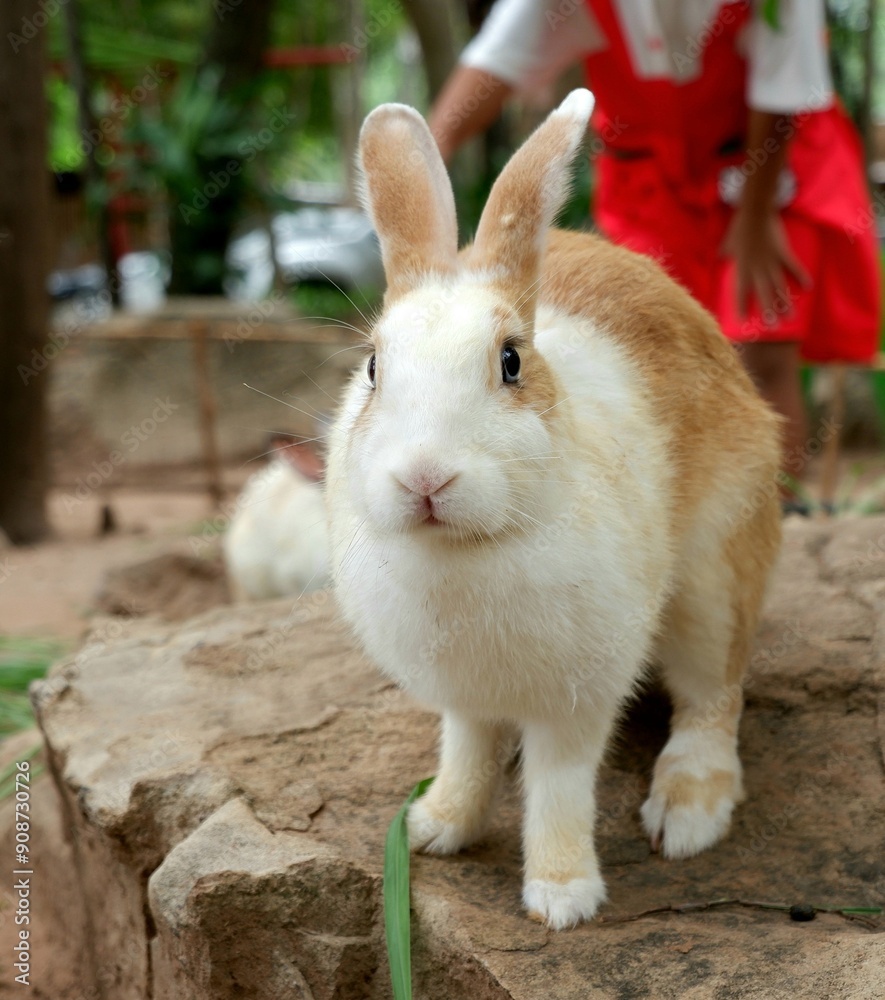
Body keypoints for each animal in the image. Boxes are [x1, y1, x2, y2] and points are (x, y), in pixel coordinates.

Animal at [325, 90, 782, 929]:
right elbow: (466, 752)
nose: (424, 478)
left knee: (712, 697)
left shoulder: (577, 700)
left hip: (714, 585)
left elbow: (561, 788)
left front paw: (562, 897)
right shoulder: (464, 702)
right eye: (372, 368)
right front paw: (435, 828)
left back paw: (687, 814)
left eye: (510, 362)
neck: (464, 547)